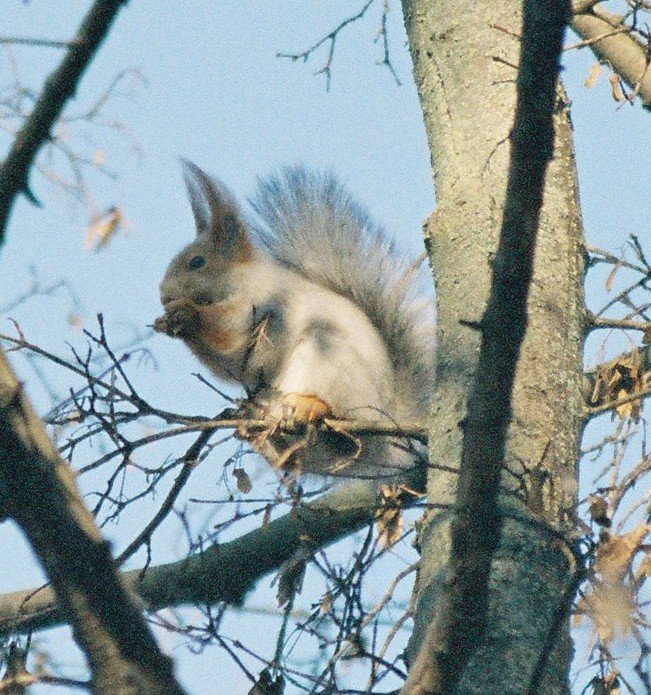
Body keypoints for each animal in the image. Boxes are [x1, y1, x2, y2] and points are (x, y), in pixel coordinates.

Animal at [155, 162, 436, 478]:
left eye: (197, 262)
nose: (163, 295)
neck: (241, 279)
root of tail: (387, 435)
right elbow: (229, 366)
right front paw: (168, 322)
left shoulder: (262, 303)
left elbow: (233, 340)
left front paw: (187, 314)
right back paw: (260, 435)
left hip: (329, 361)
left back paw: (310, 406)